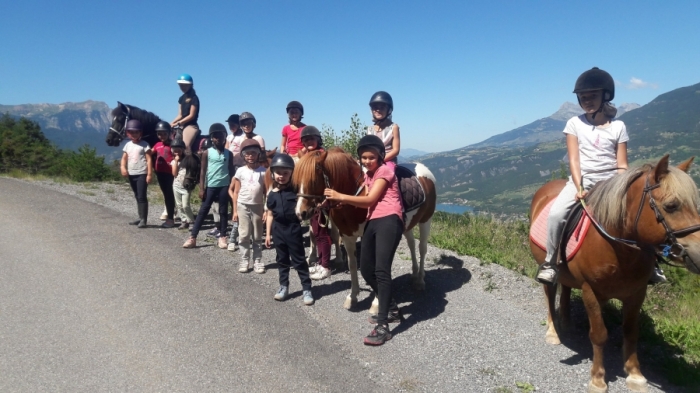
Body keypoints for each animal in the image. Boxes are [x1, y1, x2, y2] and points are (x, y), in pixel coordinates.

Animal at [292, 147, 434, 312]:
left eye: (313, 180)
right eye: (296, 181)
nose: (300, 213)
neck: (357, 194)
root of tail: (424, 170)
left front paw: (377, 303)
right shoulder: (347, 236)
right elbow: (353, 265)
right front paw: (353, 297)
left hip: (425, 221)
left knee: (422, 248)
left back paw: (420, 280)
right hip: (407, 225)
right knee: (411, 244)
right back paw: (414, 273)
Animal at [528, 154, 700, 392]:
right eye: (671, 206)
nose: (699, 254)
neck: (618, 247)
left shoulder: (636, 293)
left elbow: (631, 331)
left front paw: (635, 375)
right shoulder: (590, 292)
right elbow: (599, 334)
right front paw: (598, 379)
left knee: (566, 289)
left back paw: (567, 323)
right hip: (547, 265)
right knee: (550, 293)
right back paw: (554, 332)